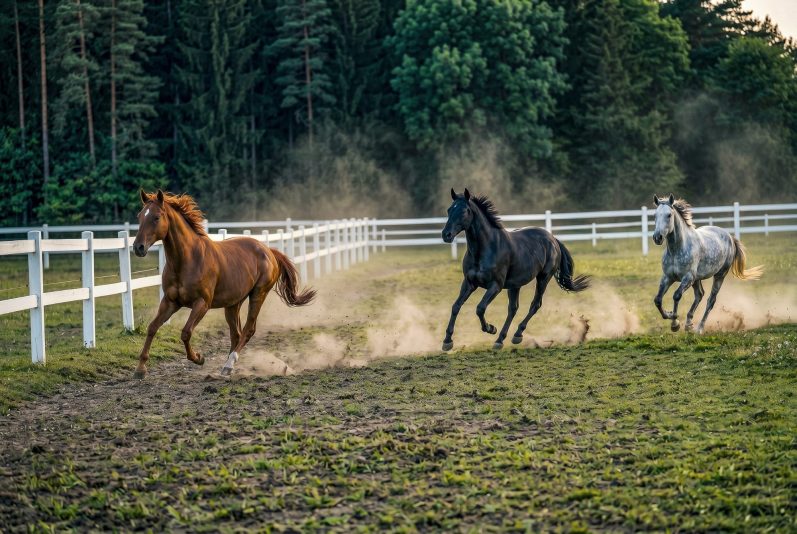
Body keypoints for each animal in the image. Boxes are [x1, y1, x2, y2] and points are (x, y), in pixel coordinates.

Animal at [131, 189, 315, 378]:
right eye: (140, 216)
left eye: (156, 217)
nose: (138, 247)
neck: (187, 260)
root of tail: (269, 251)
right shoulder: (170, 302)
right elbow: (152, 327)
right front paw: (140, 369)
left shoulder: (202, 304)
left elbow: (186, 332)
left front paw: (198, 358)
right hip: (233, 304)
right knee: (236, 334)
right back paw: (227, 366)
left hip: (258, 294)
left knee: (248, 330)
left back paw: (229, 365)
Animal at [441, 188, 590, 351]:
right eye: (449, 210)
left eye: (464, 211)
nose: (446, 235)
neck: (484, 249)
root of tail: (553, 239)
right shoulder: (469, 283)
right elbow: (456, 306)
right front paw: (447, 341)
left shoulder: (496, 286)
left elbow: (480, 308)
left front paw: (491, 328)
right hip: (515, 285)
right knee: (513, 308)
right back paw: (500, 340)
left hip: (543, 278)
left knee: (535, 305)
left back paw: (517, 335)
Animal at [652, 194, 763, 334]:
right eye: (655, 215)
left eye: (669, 215)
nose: (657, 237)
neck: (676, 249)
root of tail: (730, 237)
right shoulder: (668, 277)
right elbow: (658, 300)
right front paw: (671, 316)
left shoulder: (687, 277)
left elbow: (676, 295)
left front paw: (675, 323)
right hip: (697, 279)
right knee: (699, 295)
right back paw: (689, 324)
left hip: (719, 276)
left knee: (711, 300)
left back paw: (699, 328)